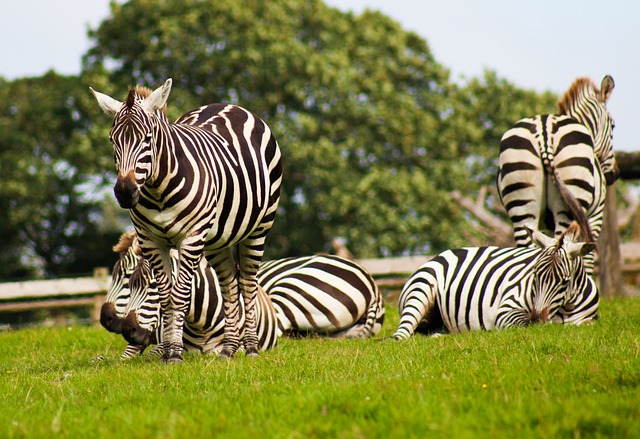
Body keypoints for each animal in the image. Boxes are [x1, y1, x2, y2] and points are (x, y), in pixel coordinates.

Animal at [90, 78, 282, 360]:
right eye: (113, 140)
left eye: (147, 138)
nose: (125, 191)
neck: (158, 191)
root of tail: (228, 104)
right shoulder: (150, 241)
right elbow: (167, 297)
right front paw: (169, 352)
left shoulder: (190, 238)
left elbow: (180, 295)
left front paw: (175, 355)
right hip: (216, 239)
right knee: (228, 284)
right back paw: (228, 349)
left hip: (258, 227)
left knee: (247, 282)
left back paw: (250, 348)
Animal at [392, 223, 596, 340]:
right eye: (535, 276)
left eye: (564, 282)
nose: (536, 318)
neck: (564, 309)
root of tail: (443, 253)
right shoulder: (507, 310)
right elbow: (526, 324)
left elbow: (582, 323)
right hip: (421, 290)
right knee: (403, 333)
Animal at [498, 76, 616, 276]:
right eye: (613, 126)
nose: (615, 174)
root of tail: (544, 132)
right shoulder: (594, 217)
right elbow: (587, 258)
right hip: (568, 206)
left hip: (521, 203)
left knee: (526, 247)